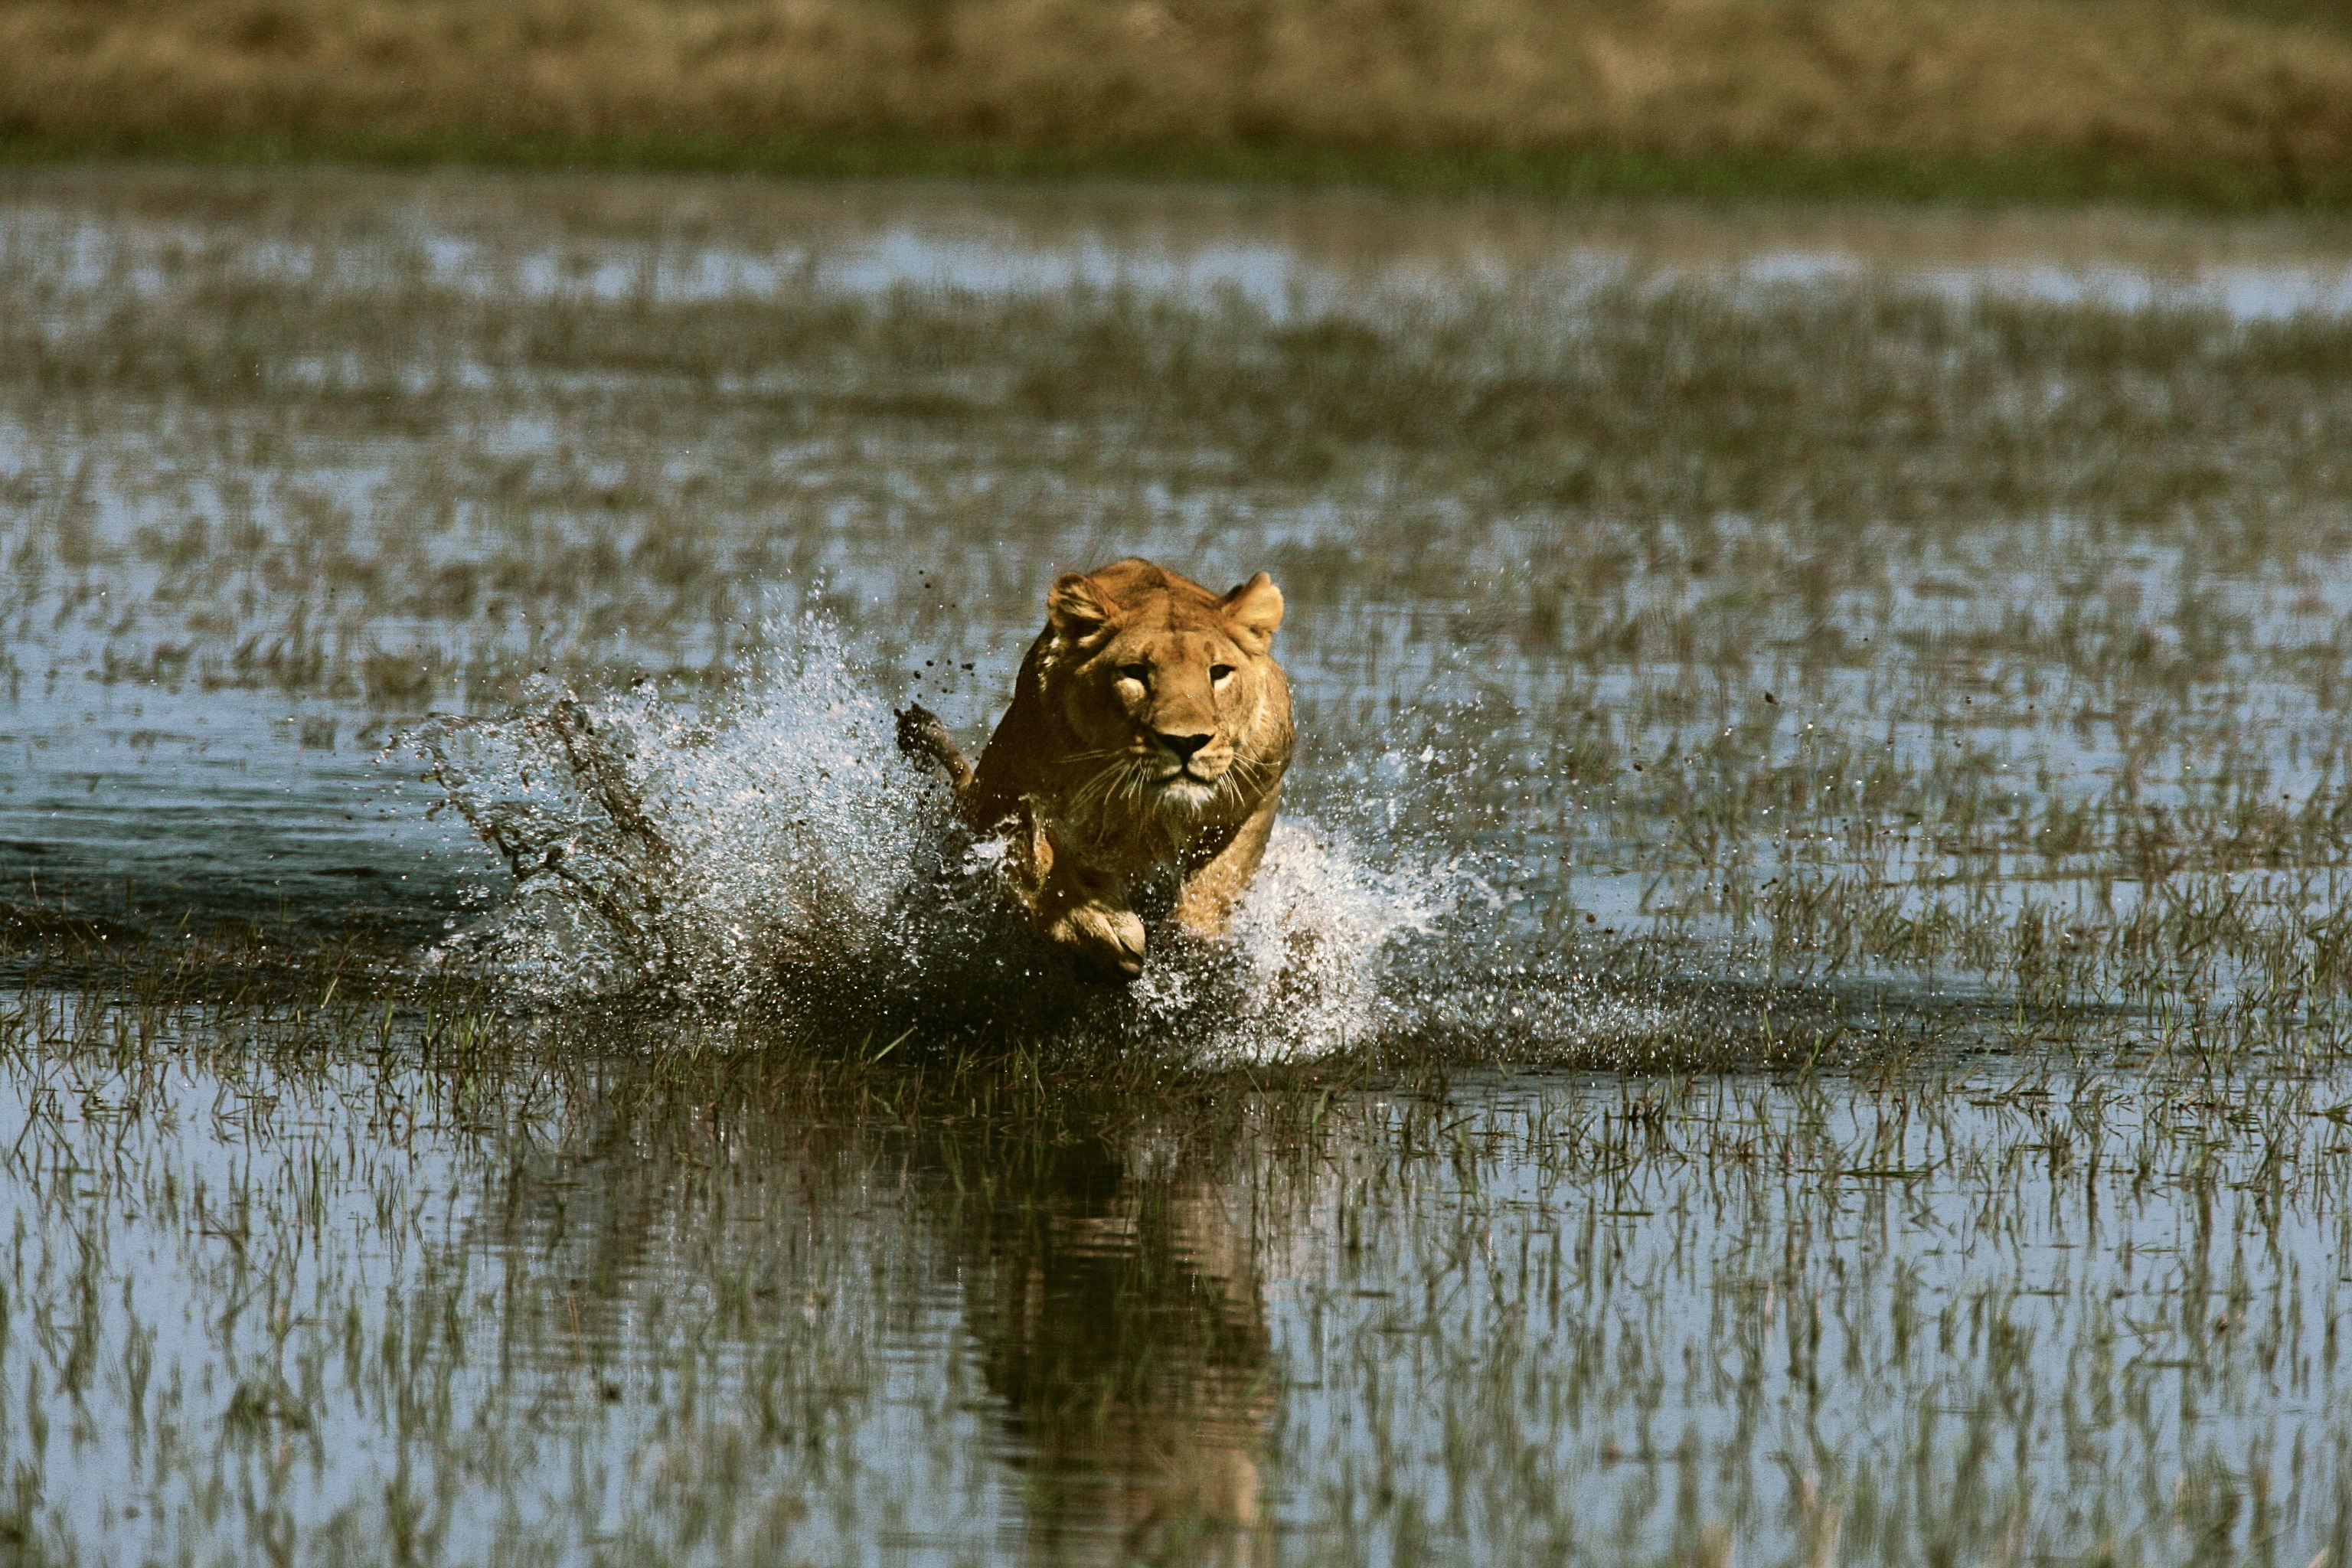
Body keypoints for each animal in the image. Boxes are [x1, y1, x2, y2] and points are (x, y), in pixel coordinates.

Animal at [896, 558, 1293, 980]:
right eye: (1135, 672)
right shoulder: (1000, 802)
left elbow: (1221, 879)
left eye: (1219, 672)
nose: (1186, 742)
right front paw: (1100, 924)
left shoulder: (1259, 790)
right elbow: (1035, 866)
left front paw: (1190, 947)